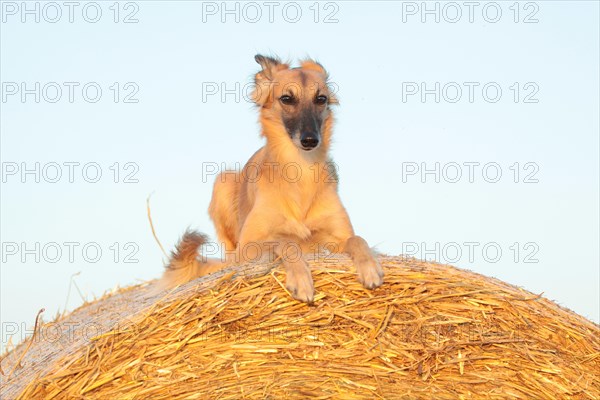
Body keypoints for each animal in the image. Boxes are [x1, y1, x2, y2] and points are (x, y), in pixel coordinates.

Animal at [161, 54, 384, 304]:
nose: (310, 140)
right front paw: (300, 279)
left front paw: (370, 267)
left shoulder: (337, 237)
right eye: (287, 98)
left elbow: (358, 239)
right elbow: (285, 241)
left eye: (321, 99)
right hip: (223, 183)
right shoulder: (248, 247)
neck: (301, 171)